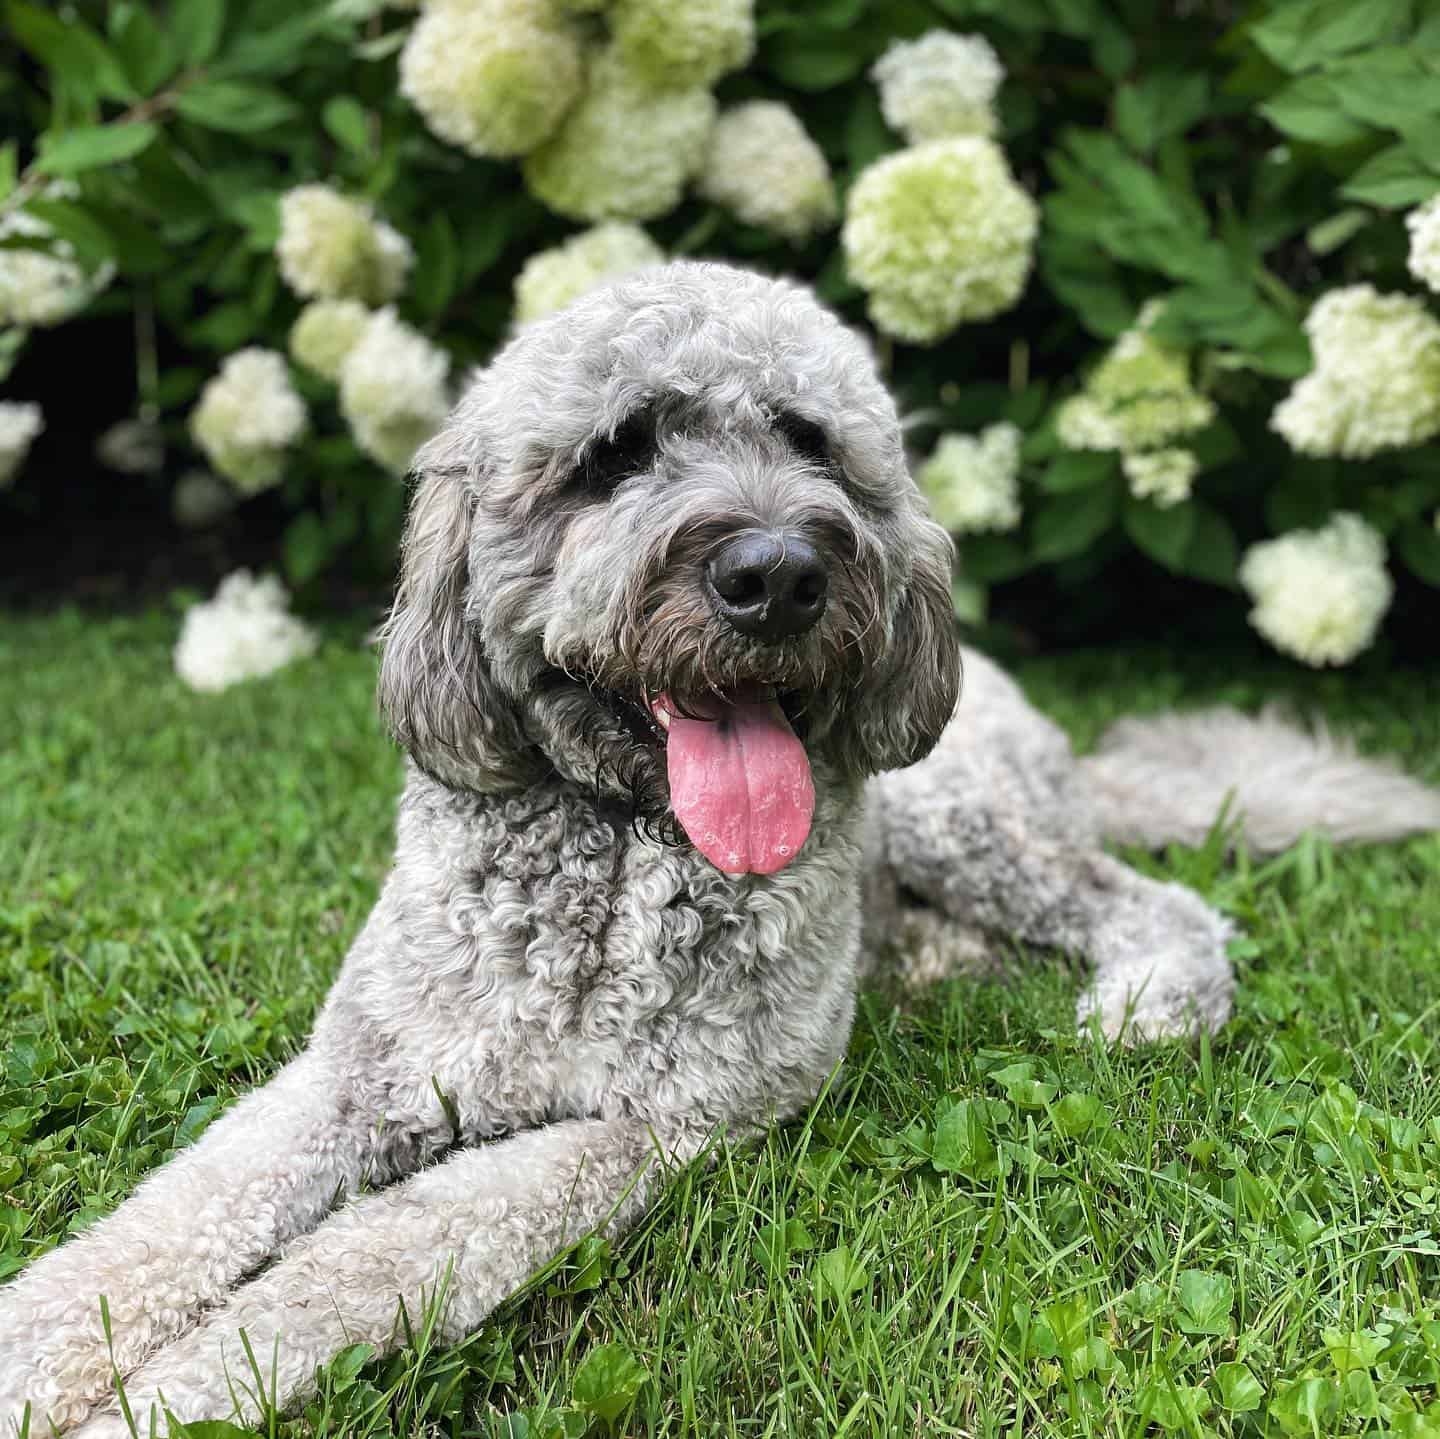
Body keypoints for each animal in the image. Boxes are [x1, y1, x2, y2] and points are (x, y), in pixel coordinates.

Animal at [2, 265, 1440, 1434]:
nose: (778, 572)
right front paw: (39, 1357)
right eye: (613, 453)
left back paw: (1148, 996)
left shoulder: (643, 1125)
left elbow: (357, 1260)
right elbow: (168, 1218)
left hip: (955, 809)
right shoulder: (362, 1069)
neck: (616, 852)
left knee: (1144, 898)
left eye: (810, 441)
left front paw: (170, 1394)